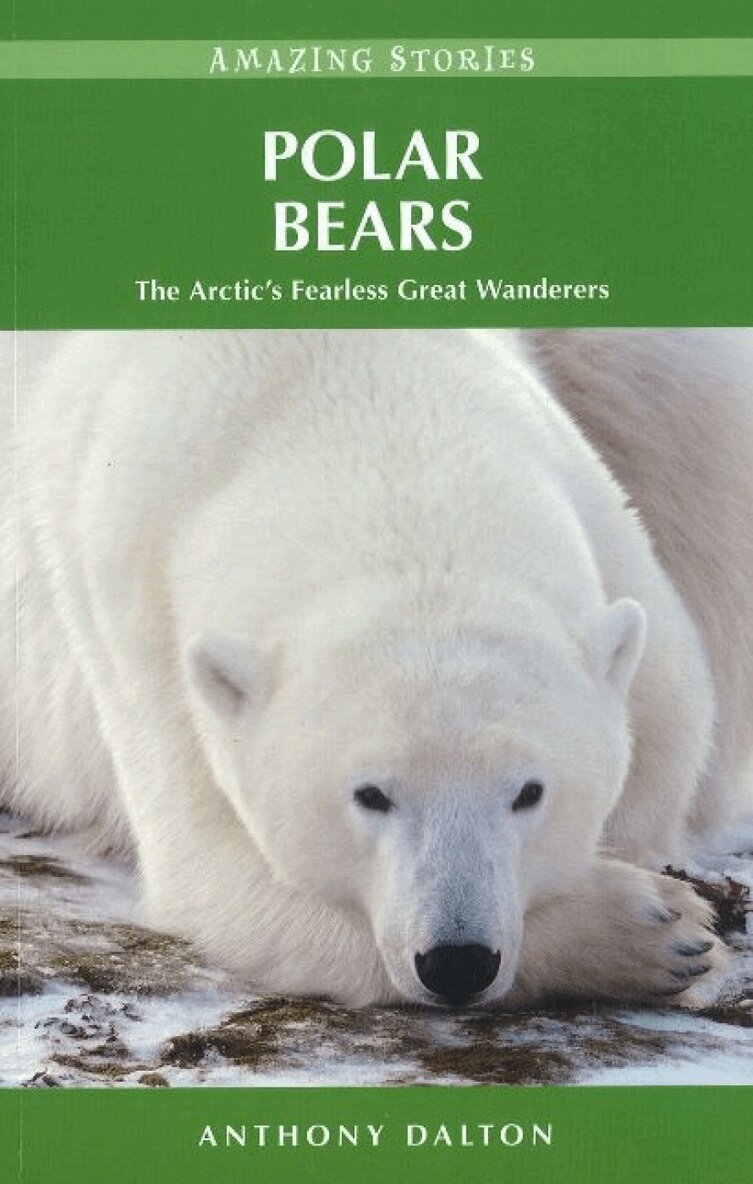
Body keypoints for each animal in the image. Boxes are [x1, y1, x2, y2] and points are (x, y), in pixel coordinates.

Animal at [2, 328, 752, 1008]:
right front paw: (654, 929)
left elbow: (668, 737)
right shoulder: (137, 618)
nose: (457, 960)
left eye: (529, 791)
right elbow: (223, 880)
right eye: (370, 794)